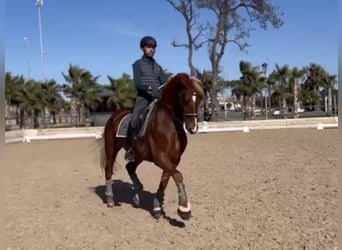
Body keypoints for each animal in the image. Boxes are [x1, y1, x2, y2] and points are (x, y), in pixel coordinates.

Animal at [100, 72, 204, 219]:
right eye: (184, 97)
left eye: (199, 98)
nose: (192, 128)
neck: (170, 123)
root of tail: (115, 115)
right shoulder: (160, 158)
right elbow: (178, 176)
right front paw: (184, 209)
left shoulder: (173, 159)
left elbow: (165, 181)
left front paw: (157, 209)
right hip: (111, 148)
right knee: (108, 169)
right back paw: (110, 200)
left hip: (138, 155)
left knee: (130, 167)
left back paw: (137, 196)